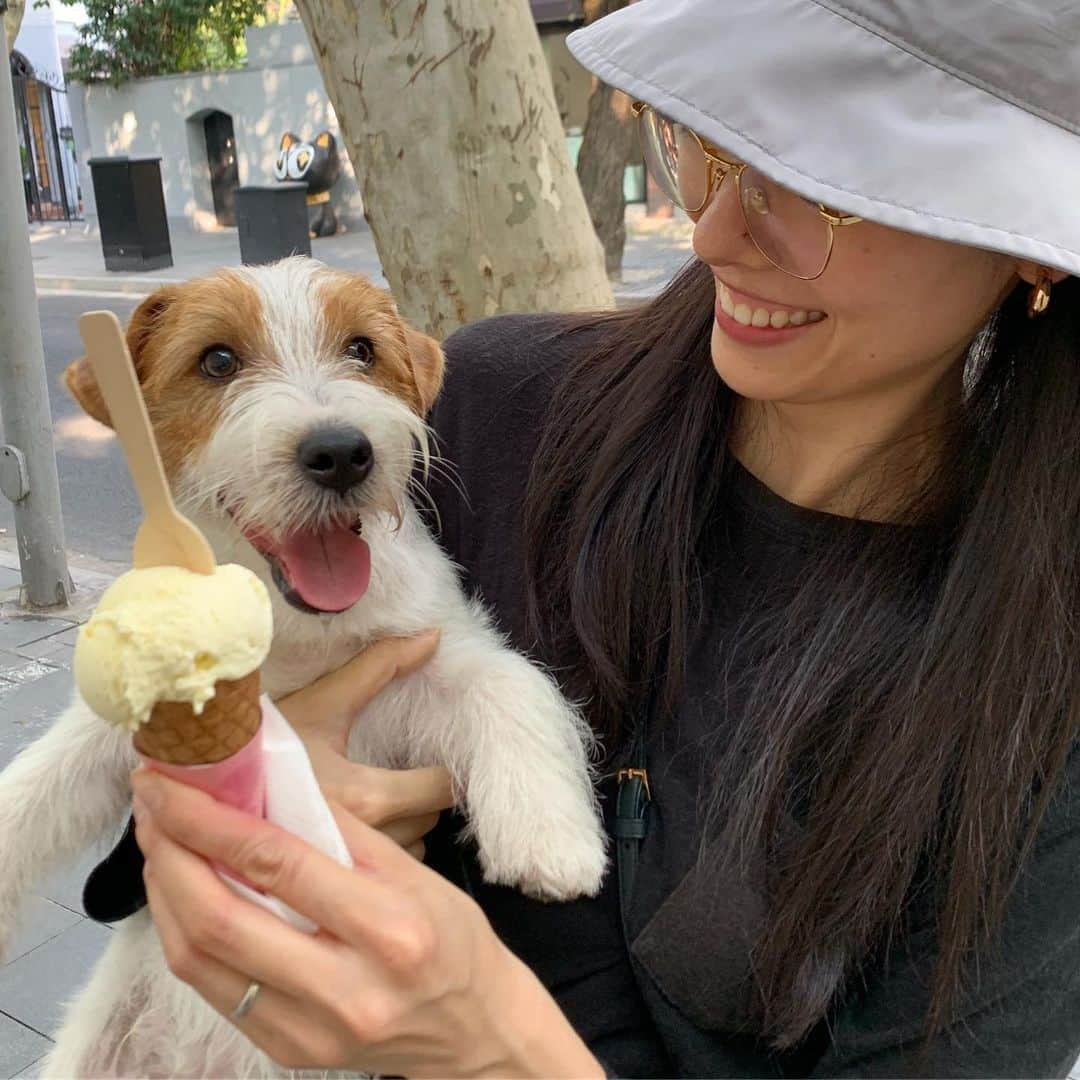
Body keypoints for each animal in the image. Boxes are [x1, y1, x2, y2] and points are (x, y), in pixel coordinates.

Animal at [0, 257, 609, 1075]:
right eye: (217, 361)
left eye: (362, 350)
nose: (343, 452)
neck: (290, 632)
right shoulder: (123, 720)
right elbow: (33, 785)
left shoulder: (425, 657)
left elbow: (510, 681)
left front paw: (549, 837)